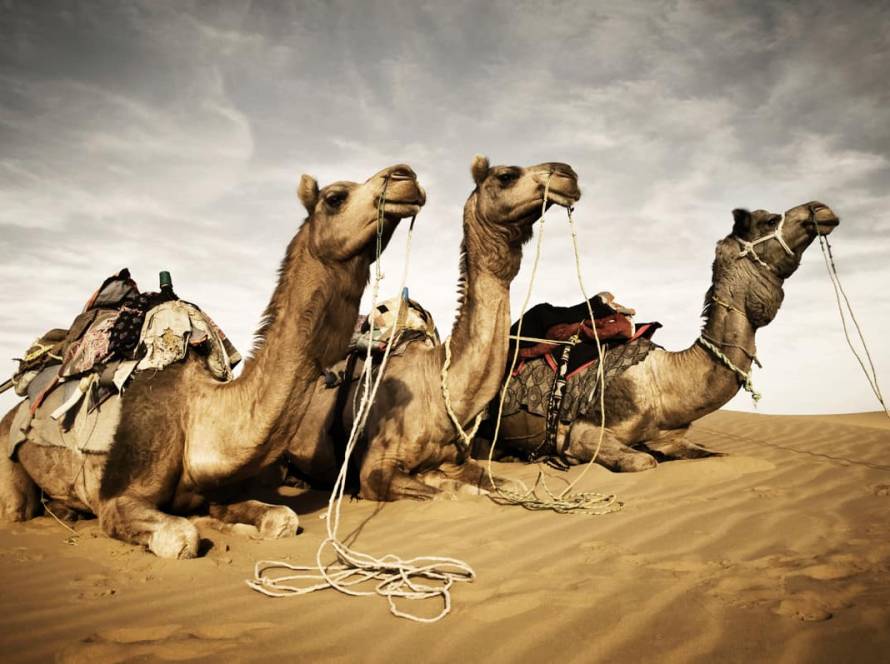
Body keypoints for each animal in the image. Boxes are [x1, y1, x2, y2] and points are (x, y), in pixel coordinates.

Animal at [0, 164, 426, 558]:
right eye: (336, 197)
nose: (405, 176)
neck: (199, 415)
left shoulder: (219, 491)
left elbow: (282, 519)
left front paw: (234, 527)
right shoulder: (117, 499)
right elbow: (182, 537)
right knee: (17, 508)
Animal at [287, 156, 581, 500]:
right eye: (507, 176)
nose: (567, 173)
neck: (438, 389)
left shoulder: (457, 459)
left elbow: (506, 485)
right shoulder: (375, 469)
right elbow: (449, 494)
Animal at [483, 202, 840, 472]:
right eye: (770, 219)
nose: (820, 209)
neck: (664, 380)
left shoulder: (670, 436)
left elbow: (717, 454)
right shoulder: (584, 432)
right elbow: (642, 462)